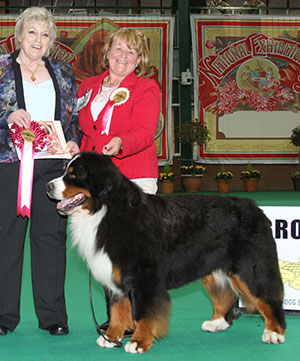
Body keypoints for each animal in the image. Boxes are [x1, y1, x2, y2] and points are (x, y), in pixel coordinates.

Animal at [45, 151, 284, 352]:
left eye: (74, 174)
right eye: (65, 169)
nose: (47, 186)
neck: (104, 210)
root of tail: (254, 207)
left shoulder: (144, 278)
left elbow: (142, 313)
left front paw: (138, 342)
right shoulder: (115, 275)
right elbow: (117, 310)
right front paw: (111, 337)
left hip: (251, 268)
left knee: (268, 297)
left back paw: (274, 333)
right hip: (215, 269)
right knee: (224, 294)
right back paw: (217, 323)